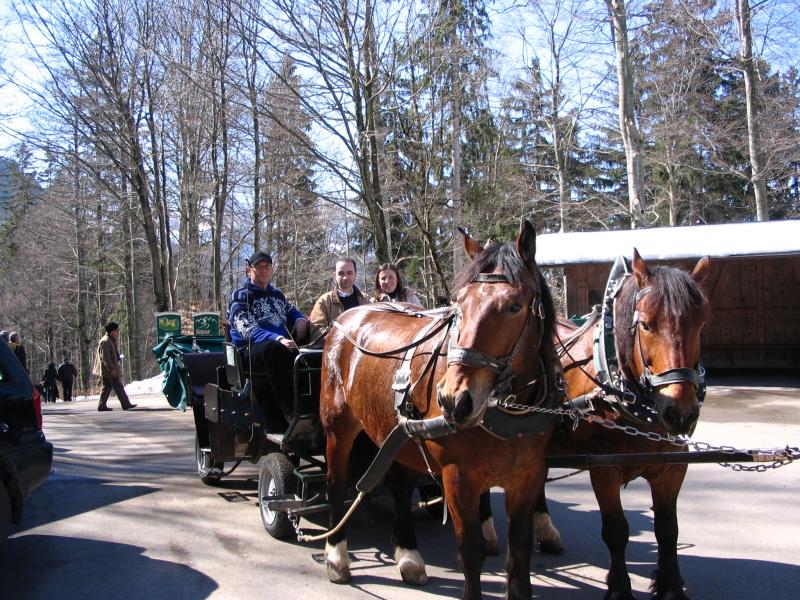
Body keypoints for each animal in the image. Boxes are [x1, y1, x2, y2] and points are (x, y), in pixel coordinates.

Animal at [320, 221, 564, 600]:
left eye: (515, 305)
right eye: (459, 305)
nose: (453, 399)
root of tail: (346, 319)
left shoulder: (529, 477)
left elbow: (520, 554)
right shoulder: (458, 479)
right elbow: (470, 552)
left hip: (397, 431)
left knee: (400, 484)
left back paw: (408, 556)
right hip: (338, 427)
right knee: (337, 482)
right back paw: (336, 556)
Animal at [532, 251, 712, 596]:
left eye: (701, 324)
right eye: (645, 325)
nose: (680, 412)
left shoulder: (673, 467)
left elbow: (668, 529)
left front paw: (671, 584)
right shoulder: (604, 469)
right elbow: (616, 531)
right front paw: (619, 587)